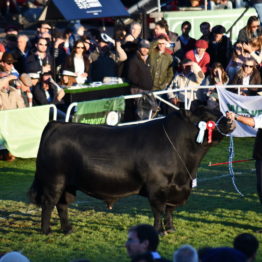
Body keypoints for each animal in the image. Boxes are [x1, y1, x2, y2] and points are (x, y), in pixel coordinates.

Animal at [28, 105, 235, 234]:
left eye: (217, 110)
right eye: (205, 118)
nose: (229, 121)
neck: (187, 170)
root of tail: (57, 124)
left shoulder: (176, 188)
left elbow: (169, 210)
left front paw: (170, 228)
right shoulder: (158, 187)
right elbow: (158, 210)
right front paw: (160, 231)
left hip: (68, 184)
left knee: (62, 204)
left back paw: (68, 229)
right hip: (54, 179)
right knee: (49, 203)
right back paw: (46, 231)